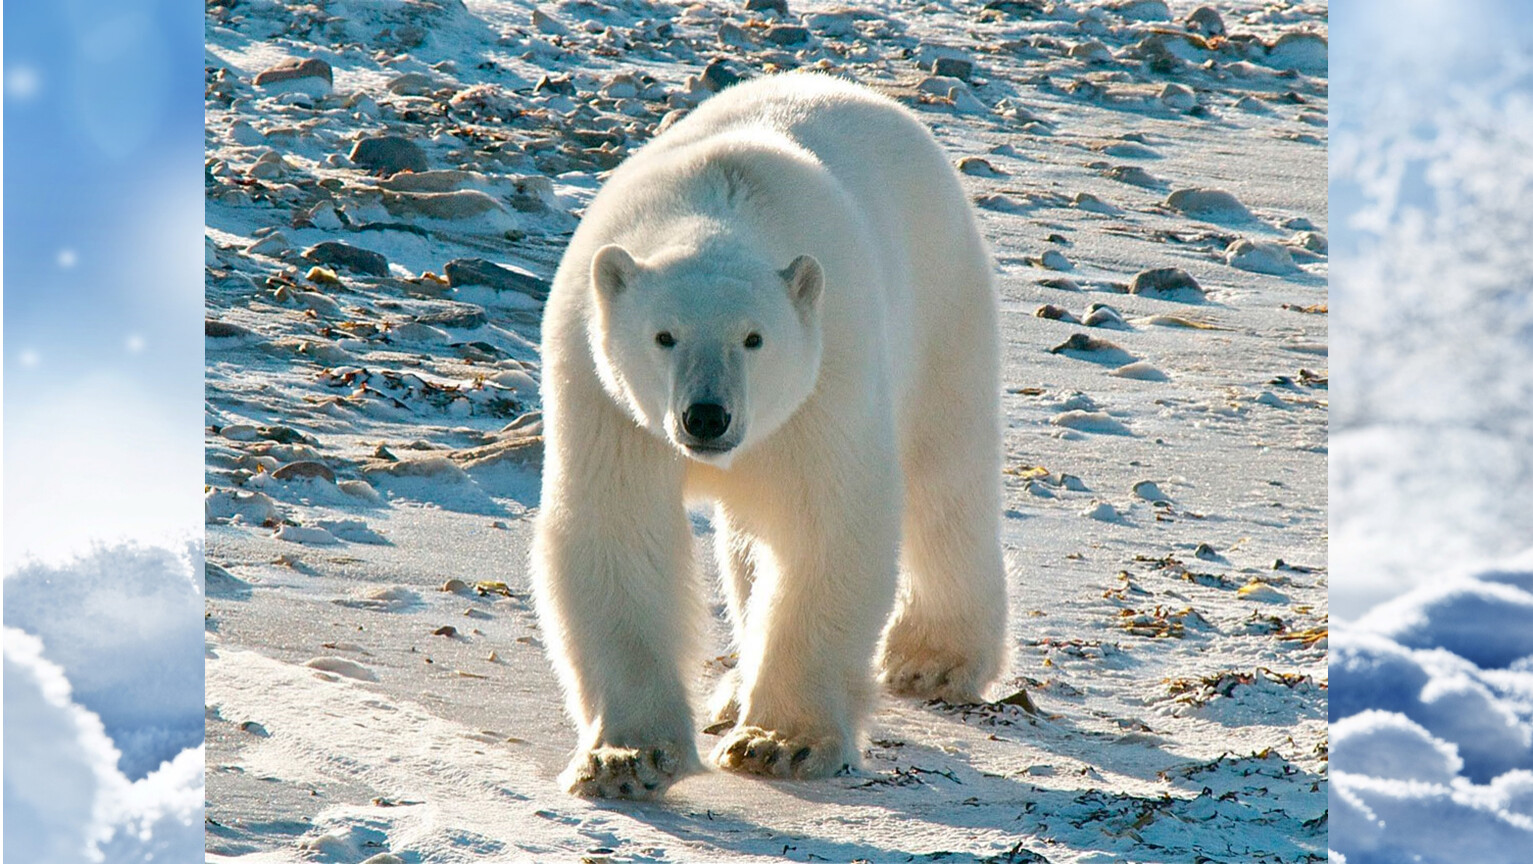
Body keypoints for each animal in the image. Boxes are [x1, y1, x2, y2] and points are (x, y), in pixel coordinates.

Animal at [533, 72, 1011, 796]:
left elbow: (824, 524)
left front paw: (781, 742)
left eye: (753, 338)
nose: (706, 416)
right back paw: (734, 686)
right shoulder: (603, 395)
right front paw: (626, 757)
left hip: (942, 302)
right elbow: (618, 528)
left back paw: (934, 656)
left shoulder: (827, 376)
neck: (719, 201)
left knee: (944, 479)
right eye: (664, 335)